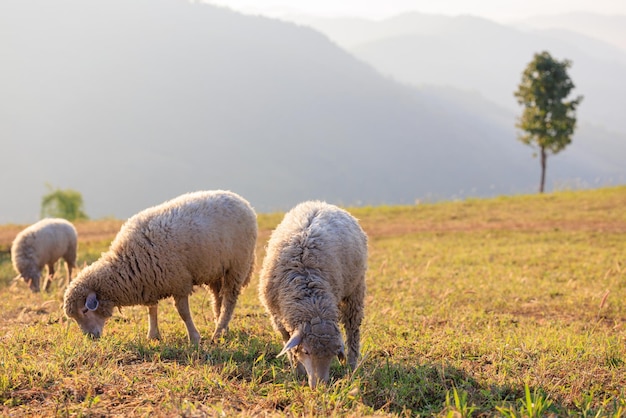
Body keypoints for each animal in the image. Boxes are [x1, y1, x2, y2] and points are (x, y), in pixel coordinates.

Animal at [62, 191, 256, 344]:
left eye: (85, 310)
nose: (90, 337)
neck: (127, 262)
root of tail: (242, 201)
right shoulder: (150, 281)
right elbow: (151, 310)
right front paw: (153, 335)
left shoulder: (179, 282)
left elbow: (183, 313)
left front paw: (194, 338)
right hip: (215, 271)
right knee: (218, 299)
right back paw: (223, 329)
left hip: (237, 266)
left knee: (229, 300)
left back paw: (218, 332)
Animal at [258, 200, 366, 388]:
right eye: (306, 351)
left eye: (332, 354)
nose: (320, 386)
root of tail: (322, 203)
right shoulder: (277, 315)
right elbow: (288, 344)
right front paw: (297, 372)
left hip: (355, 289)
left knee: (353, 329)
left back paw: (352, 366)